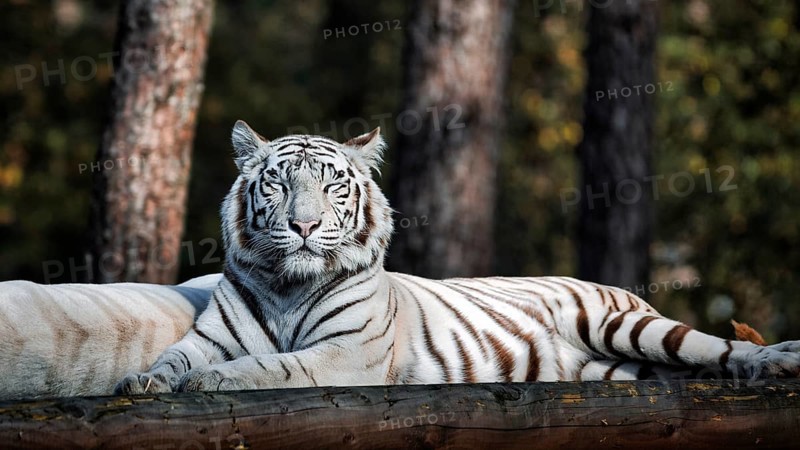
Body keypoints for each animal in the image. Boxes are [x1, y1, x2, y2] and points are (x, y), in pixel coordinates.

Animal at [116, 120, 800, 395]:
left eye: (332, 186)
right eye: (279, 184)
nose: (304, 225)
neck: (288, 284)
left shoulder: (346, 353)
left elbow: (272, 366)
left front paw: (213, 382)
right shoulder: (210, 337)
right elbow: (174, 358)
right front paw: (142, 380)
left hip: (625, 323)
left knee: (717, 348)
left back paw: (777, 360)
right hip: (611, 371)